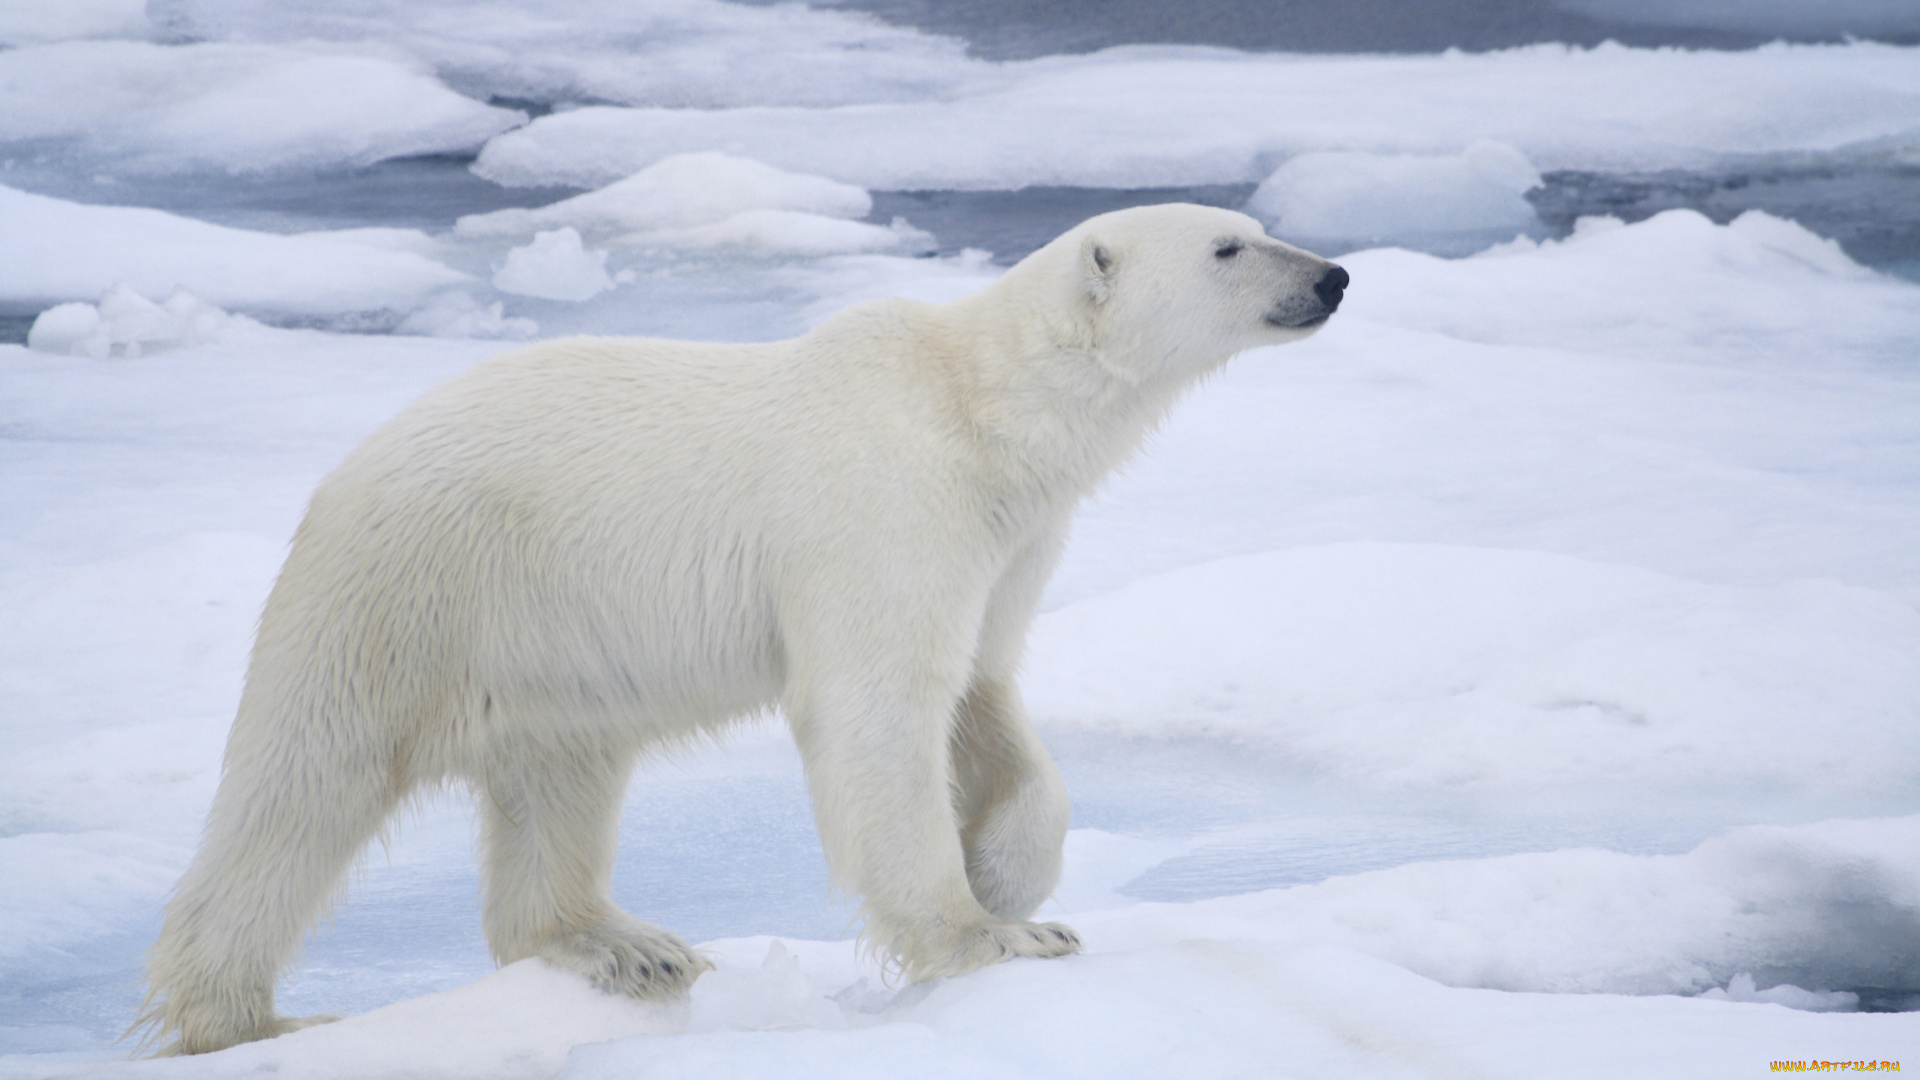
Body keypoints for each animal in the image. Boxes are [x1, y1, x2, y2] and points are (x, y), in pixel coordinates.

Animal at [142, 203, 1344, 1053]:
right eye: (1231, 245)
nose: (1333, 276)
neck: (979, 407)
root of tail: (346, 471)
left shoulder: (1007, 537)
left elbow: (983, 691)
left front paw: (1008, 875)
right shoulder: (885, 500)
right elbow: (879, 706)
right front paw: (991, 935)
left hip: (546, 645)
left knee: (560, 782)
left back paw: (622, 946)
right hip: (410, 591)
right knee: (305, 785)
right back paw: (247, 1017)